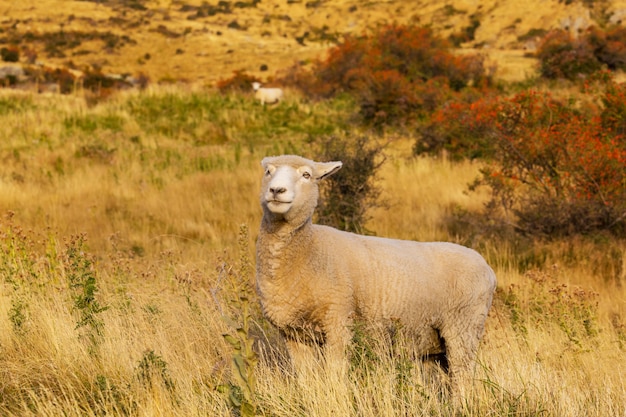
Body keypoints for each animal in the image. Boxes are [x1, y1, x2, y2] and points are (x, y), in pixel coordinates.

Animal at [256, 154, 494, 394]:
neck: (310, 249)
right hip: (436, 340)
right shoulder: (294, 334)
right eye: (268, 172)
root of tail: (487, 267)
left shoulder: (339, 324)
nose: (276, 190)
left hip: (464, 328)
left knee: (462, 380)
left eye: (306, 175)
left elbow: (334, 376)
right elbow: (305, 380)